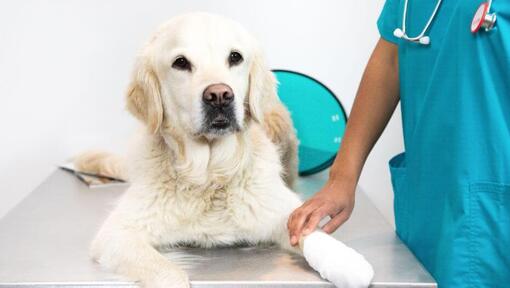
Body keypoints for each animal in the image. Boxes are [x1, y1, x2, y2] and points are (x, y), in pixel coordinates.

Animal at [74, 11, 370, 288]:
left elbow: (310, 231)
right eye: (181, 62)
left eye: (235, 57)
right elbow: (166, 271)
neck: (210, 175)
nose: (219, 96)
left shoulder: (279, 209)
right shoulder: (118, 233)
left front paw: (346, 262)